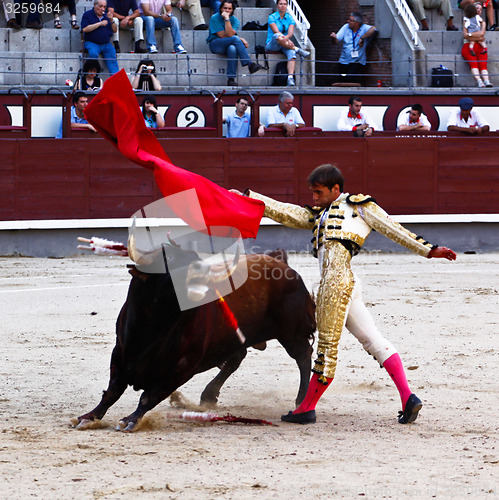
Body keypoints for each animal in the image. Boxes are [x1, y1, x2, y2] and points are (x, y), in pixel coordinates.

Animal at [74, 252, 316, 432]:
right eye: (168, 263)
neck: (152, 327)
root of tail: (284, 266)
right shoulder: (120, 353)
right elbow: (112, 390)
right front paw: (89, 417)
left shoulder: (183, 366)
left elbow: (149, 395)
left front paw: (131, 420)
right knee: (237, 358)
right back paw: (209, 395)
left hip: (292, 333)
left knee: (303, 357)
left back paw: (301, 403)